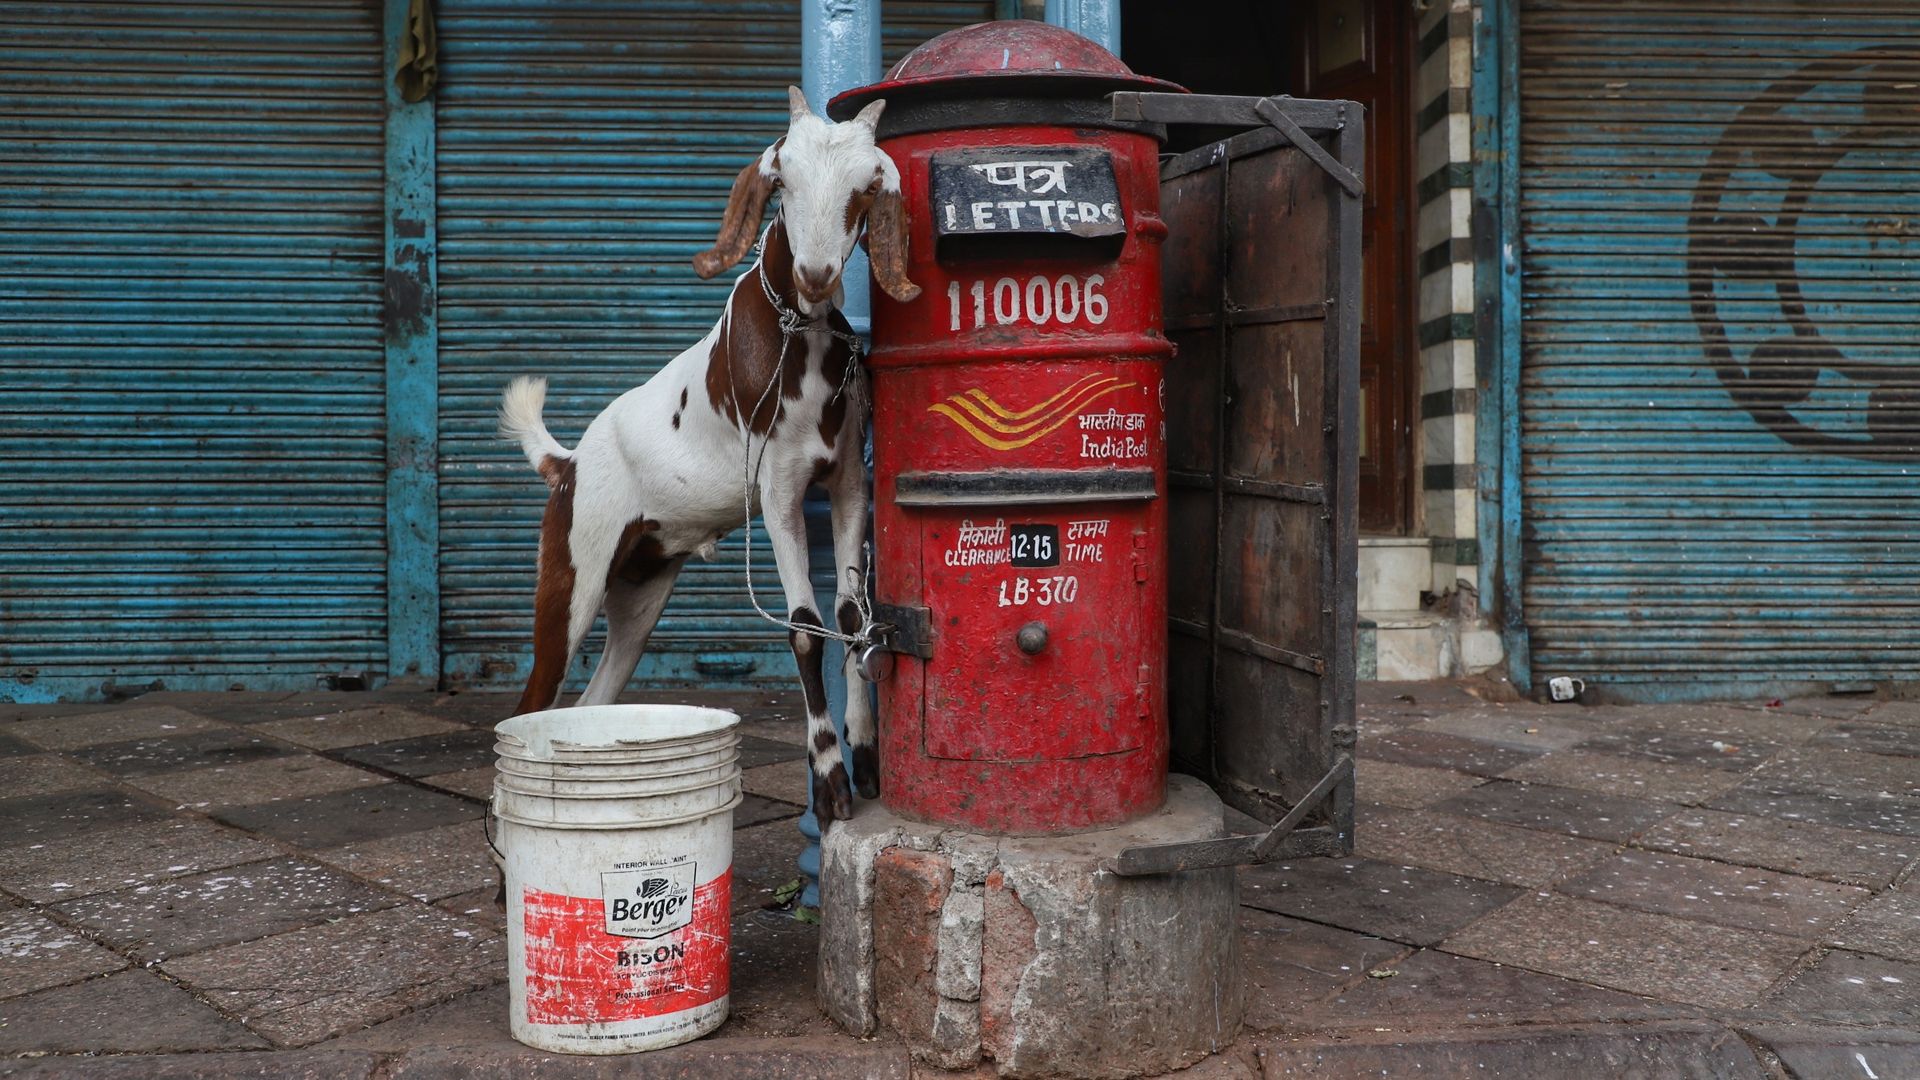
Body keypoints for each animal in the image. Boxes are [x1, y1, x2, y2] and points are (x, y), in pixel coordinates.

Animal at [496, 87, 920, 824]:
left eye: (865, 189)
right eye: (782, 181)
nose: (815, 274)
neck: (797, 334)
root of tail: (569, 464)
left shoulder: (846, 483)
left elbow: (848, 616)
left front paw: (866, 754)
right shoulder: (778, 490)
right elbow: (804, 627)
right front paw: (829, 777)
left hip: (640, 589)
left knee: (592, 700)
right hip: (573, 574)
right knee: (534, 699)